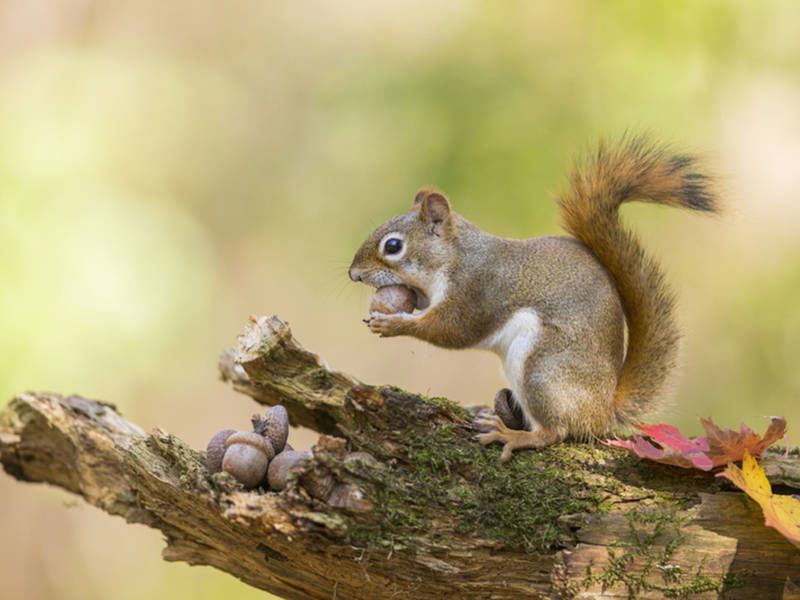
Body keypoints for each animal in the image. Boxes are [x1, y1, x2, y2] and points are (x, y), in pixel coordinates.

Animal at [348, 135, 718, 461]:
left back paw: (514, 435)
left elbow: (452, 330)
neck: (456, 257)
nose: (354, 274)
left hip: (542, 369)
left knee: (555, 432)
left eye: (393, 246)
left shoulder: (478, 290)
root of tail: (603, 409)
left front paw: (393, 324)